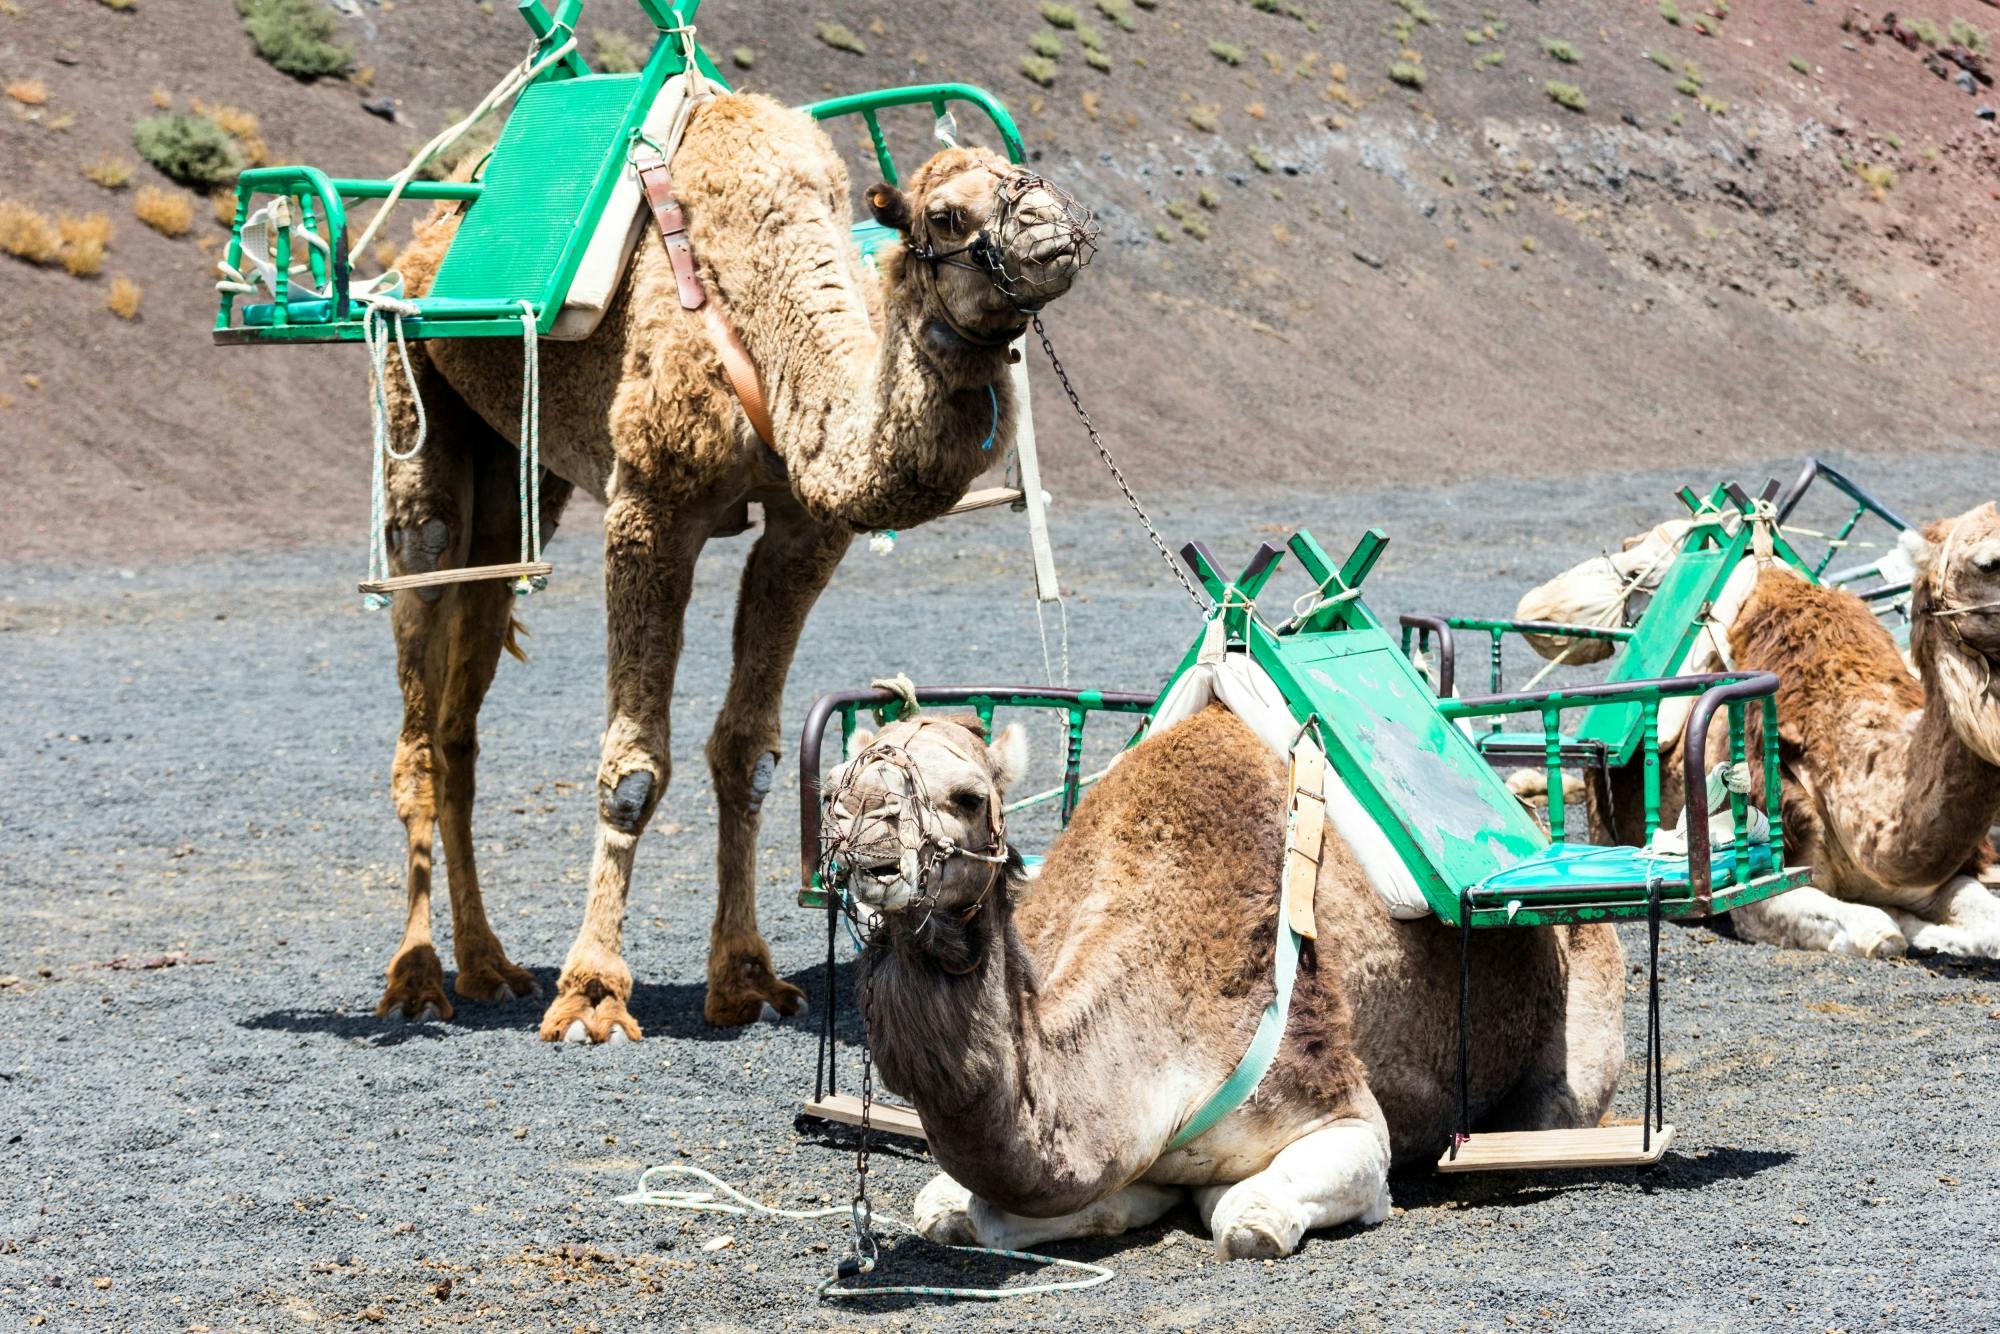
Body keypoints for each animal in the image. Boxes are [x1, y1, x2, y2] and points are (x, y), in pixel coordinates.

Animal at [376, 91, 1096, 1040]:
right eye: (946, 215)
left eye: (1034, 179)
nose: (1058, 233)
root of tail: (421, 244)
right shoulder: (652, 503)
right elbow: (634, 770)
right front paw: (593, 992)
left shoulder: (803, 531)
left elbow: (749, 753)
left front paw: (746, 980)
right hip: (413, 403)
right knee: (421, 647)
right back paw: (418, 978)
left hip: (515, 469)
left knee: (468, 684)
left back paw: (490, 967)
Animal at [820, 708, 1632, 1264]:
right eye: (836, 791)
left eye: (965, 795)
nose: (872, 853)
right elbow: (956, 1208)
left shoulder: (1343, 1114)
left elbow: (1249, 1216)